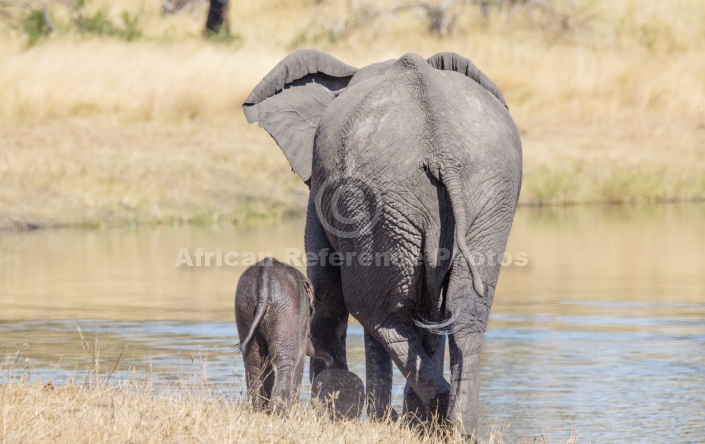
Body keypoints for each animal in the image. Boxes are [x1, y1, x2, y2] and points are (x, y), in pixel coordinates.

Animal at [234, 258, 332, 412]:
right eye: (312, 311)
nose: (330, 363)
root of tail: (264, 277)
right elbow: (300, 355)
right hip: (284, 308)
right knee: (285, 357)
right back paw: (278, 410)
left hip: (245, 306)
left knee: (254, 359)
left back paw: (258, 409)